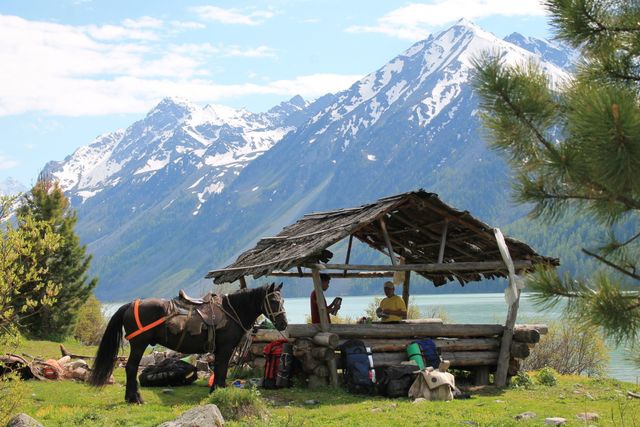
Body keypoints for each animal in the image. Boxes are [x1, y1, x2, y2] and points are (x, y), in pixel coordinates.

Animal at [88, 283, 287, 404]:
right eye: (273, 300)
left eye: (283, 300)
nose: (284, 323)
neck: (232, 311)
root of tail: (131, 304)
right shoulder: (225, 348)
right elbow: (222, 369)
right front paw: (219, 390)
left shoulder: (221, 350)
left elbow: (218, 370)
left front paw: (214, 390)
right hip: (138, 344)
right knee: (131, 368)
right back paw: (135, 398)